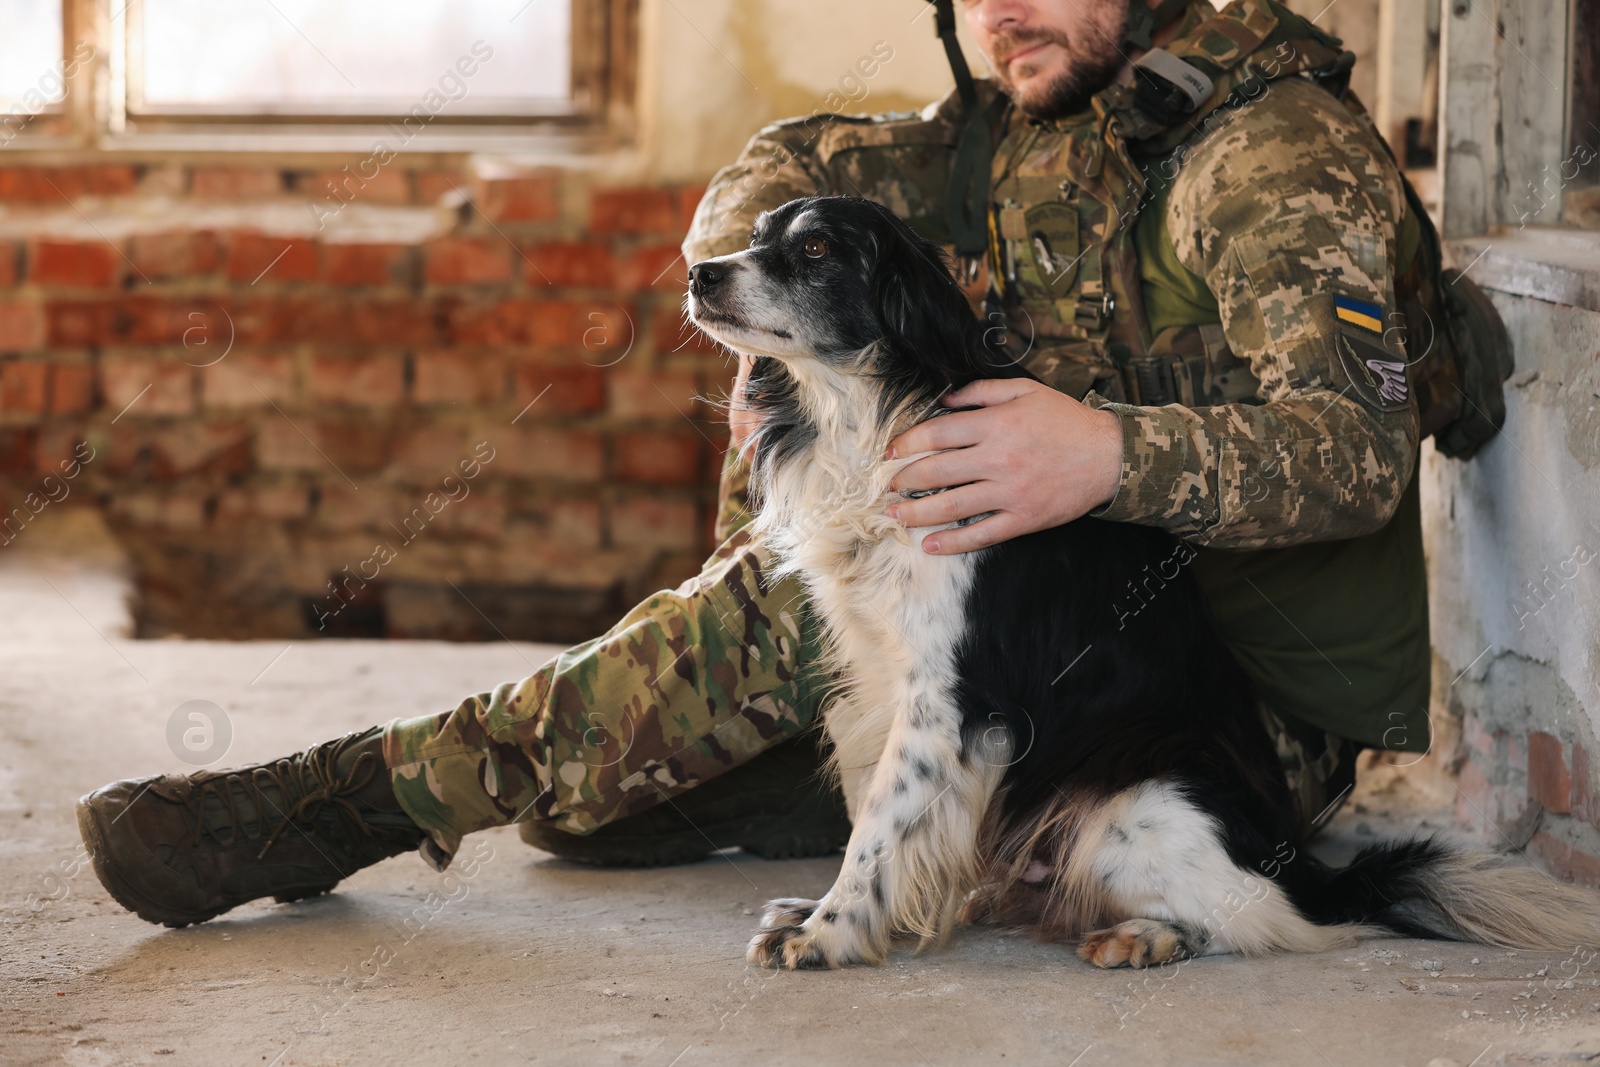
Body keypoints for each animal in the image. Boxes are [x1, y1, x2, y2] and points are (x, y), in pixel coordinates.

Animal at [681, 195, 1593, 972]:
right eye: (757, 235)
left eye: (816, 250)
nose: (699, 274)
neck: (867, 412)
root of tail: (1306, 861)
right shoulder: (876, 668)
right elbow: (877, 811)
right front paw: (819, 912)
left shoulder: (945, 696)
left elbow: (879, 822)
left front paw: (829, 932)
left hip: (1138, 801)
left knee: (1260, 916)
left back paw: (1149, 936)